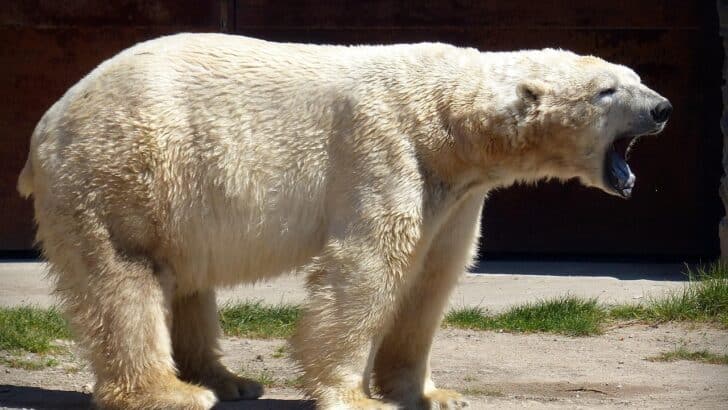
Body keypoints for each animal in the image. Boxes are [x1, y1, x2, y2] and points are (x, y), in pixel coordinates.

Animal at [17, 33, 670, 409]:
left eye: (634, 77)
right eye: (607, 91)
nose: (663, 107)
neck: (451, 121)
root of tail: (48, 122)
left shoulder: (457, 194)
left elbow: (432, 278)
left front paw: (434, 394)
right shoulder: (384, 148)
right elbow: (367, 267)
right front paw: (354, 397)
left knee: (186, 280)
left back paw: (230, 381)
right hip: (125, 170)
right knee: (127, 276)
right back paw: (173, 392)